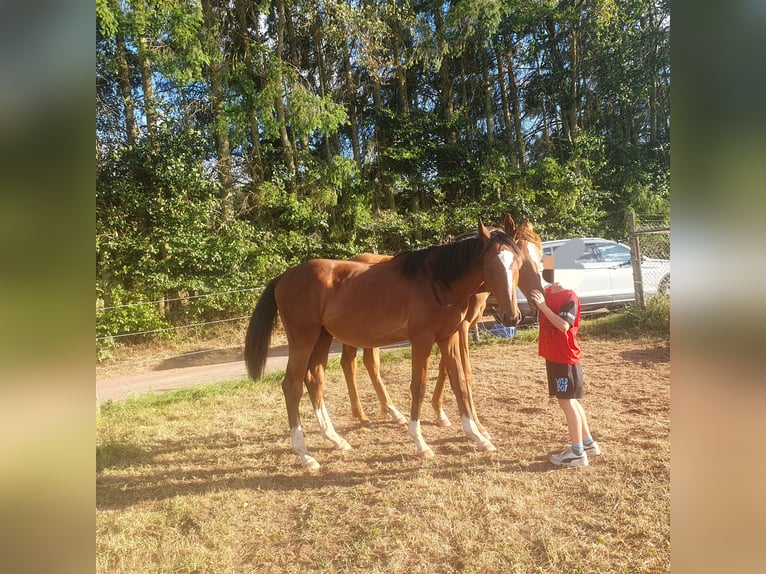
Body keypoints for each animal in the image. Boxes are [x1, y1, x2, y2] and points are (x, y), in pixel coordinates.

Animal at [244, 220, 523, 470]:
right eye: (490, 266)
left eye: (518, 263)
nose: (512, 316)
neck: (437, 282)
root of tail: (283, 277)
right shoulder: (422, 340)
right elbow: (418, 387)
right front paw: (420, 443)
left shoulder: (449, 338)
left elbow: (460, 382)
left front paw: (478, 437)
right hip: (303, 341)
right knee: (292, 386)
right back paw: (305, 455)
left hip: (321, 339)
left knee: (314, 380)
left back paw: (335, 439)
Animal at [340, 215, 544, 432]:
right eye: (523, 260)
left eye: (537, 257)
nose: (513, 316)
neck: (444, 281)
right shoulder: (460, 329)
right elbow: (465, 373)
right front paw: (477, 424)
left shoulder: (450, 330)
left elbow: (446, 369)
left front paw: (440, 413)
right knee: (350, 363)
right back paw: (363, 416)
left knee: (369, 363)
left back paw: (392, 412)